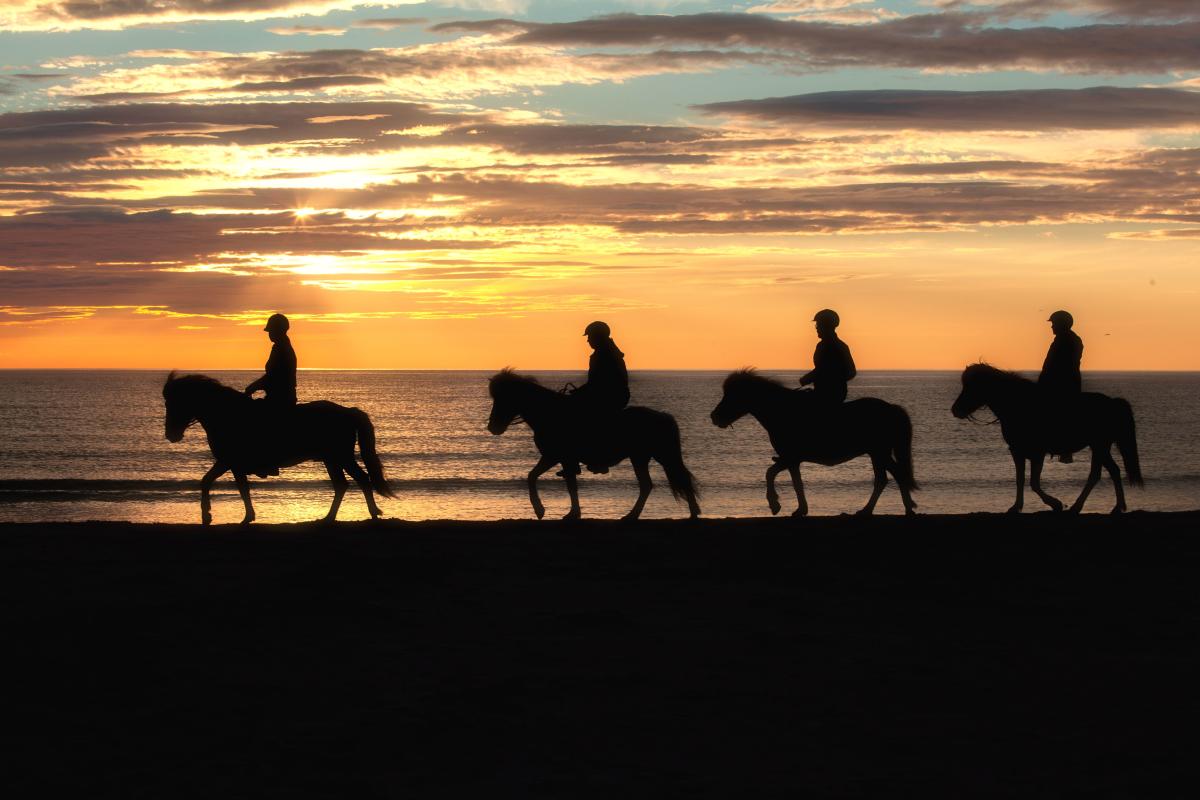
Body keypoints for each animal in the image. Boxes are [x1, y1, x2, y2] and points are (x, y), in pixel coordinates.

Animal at [159, 374, 391, 525]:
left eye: (173, 404)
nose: (171, 435)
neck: (227, 414)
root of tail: (348, 411)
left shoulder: (229, 461)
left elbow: (228, 485)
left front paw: (214, 516)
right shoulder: (231, 463)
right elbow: (223, 485)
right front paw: (226, 516)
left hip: (340, 457)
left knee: (360, 479)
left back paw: (371, 513)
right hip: (332, 459)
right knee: (343, 485)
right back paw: (329, 518)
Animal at [482, 371, 700, 522]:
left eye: (504, 398)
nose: (493, 427)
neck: (550, 413)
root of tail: (662, 416)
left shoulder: (557, 456)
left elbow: (552, 481)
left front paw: (544, 510)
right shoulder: (558, 458)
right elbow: (545, 478)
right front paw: (562, 511)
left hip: (656, 456)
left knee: (670, 480)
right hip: (643, 457)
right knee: (652, 484)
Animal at [705, 371, 912, 515]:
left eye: (732, 395)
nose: (714, 417)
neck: (780, 411)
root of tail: (891, 408)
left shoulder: (790, 458)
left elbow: (778, 476)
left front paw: (778, 505)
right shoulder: (790, 459)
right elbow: (788, 479)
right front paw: (794, 508)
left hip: (879, 452)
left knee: (888, 477)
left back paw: (880, 510)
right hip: (877, 453)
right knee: (890, 477)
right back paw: (897, 508)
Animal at [950, 362, 1137, 513]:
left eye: (972, 386)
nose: (955, 410)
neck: (1016, 404)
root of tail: (1112, 402)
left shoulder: (1037, 452)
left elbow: (1034, 482)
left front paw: (1055, 503)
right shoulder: (1016, 451)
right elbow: (1020, 479)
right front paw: (1016, 506)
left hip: (1099, 445)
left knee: (1098, 474)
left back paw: (1079, 506)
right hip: (1100, 446)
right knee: (1112, 471)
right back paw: (1117, 506)